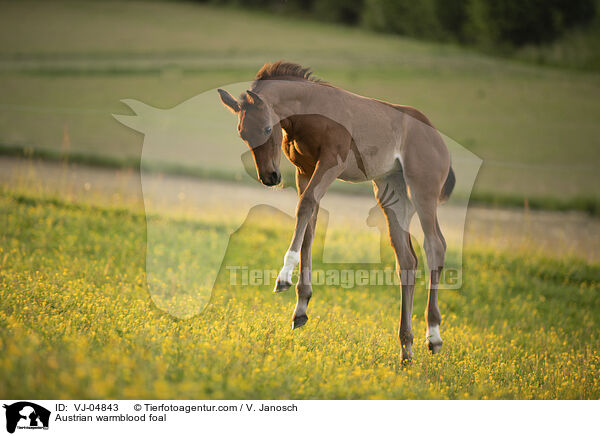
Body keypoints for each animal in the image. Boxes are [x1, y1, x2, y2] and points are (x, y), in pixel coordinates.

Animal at [220, 61, 454, 362]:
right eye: (242, 133)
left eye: (267, 128)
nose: (270, 177)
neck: (309, 110)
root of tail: (439, 139)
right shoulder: (305, 170)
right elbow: (309, 221)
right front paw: (301, 307)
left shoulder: (331, 162)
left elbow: (306, 206)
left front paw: (283, 277)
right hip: (392, 193)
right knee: (406, 260)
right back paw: (406, 348)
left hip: (422, 190)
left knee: (435, 245)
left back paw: (433, 335)